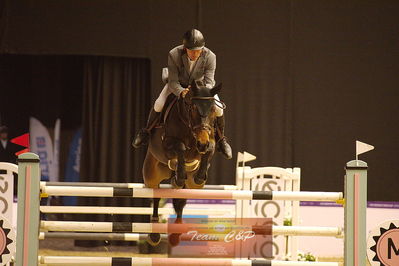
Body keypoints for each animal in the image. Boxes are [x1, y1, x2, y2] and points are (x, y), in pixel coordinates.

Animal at [143, 80, 225, 245]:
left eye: (213, 110)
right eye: (193, 108)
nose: (202, 144)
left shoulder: (209, 140)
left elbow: (210, 149)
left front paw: (199, 176)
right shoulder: (167, 144)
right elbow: (180, 147)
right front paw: (180, 174)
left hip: (190, 185)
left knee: (181, 199)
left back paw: (176, 232)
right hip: (151, 175)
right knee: (156, 195)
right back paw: (154, 235)